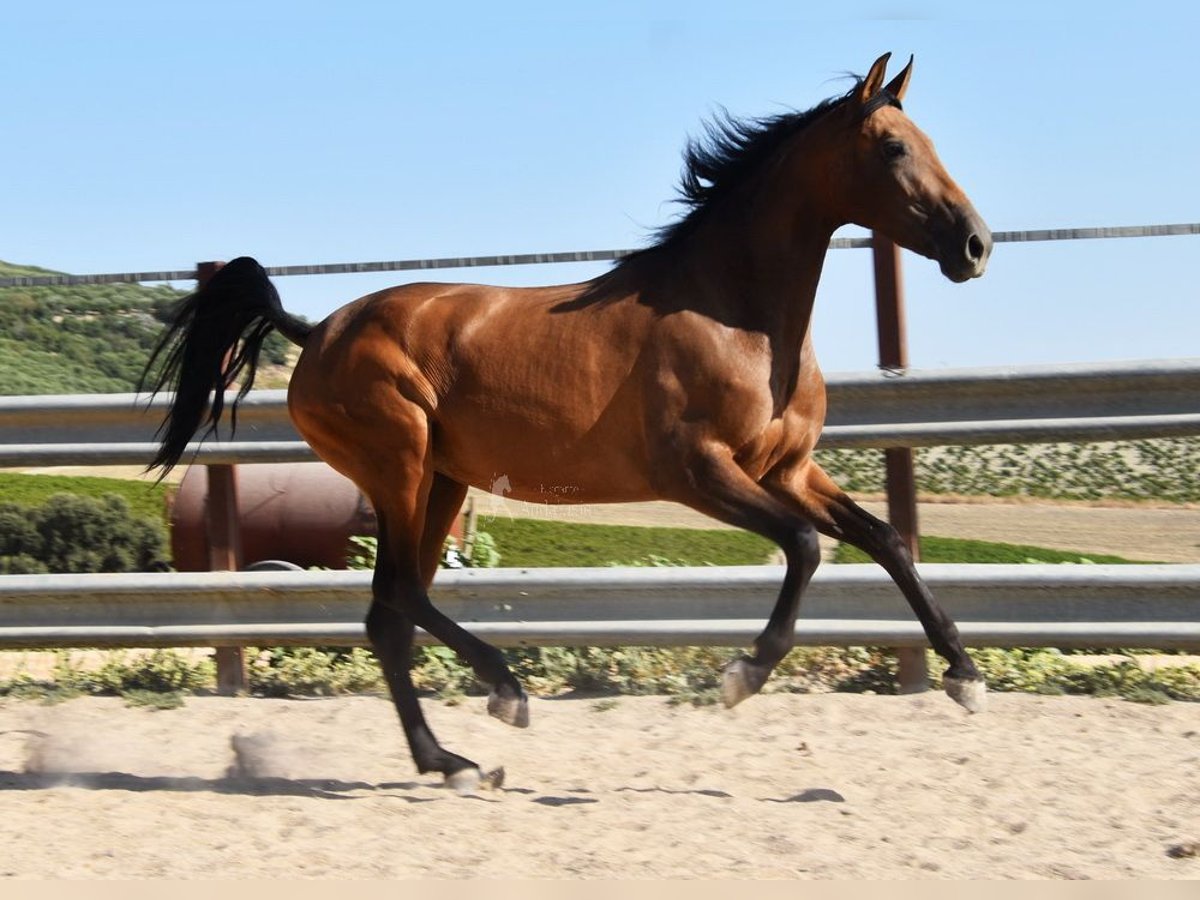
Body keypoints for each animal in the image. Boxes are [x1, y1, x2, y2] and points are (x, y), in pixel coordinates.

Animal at [145, 52, 993, 792]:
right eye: (892, 147)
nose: (975, 245)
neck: (736, 317)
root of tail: (315, 329)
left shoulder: (786, 470)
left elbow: (884, 539)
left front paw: (965, 675)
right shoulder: (699, 470)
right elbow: (807, 546)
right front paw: (741, 674)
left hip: (442, 482)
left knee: (393, 613)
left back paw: (455, 758)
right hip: (400, 470)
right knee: (398, 599)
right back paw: (499, 699)